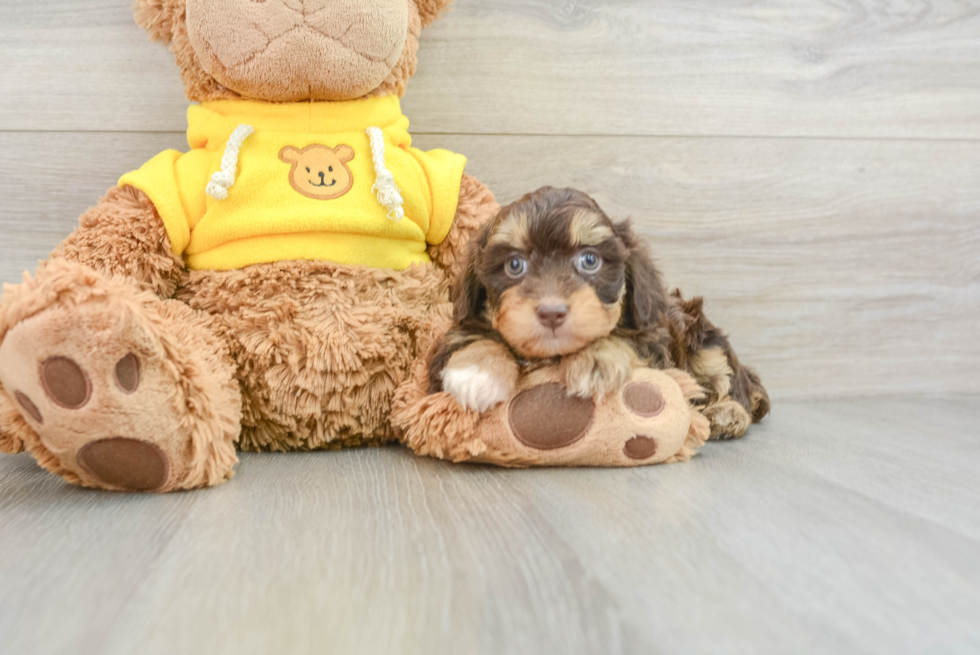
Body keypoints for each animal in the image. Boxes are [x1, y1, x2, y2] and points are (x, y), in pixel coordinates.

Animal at [432, 186, 768, 440]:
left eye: (590, 260)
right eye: (515, 265)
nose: (551, 312)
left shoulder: (653, 339)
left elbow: (622, 339)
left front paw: (596, 360)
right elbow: (476, 340)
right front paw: (476, 372)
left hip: (706, 342)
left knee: (731, 380)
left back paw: (727, 414)